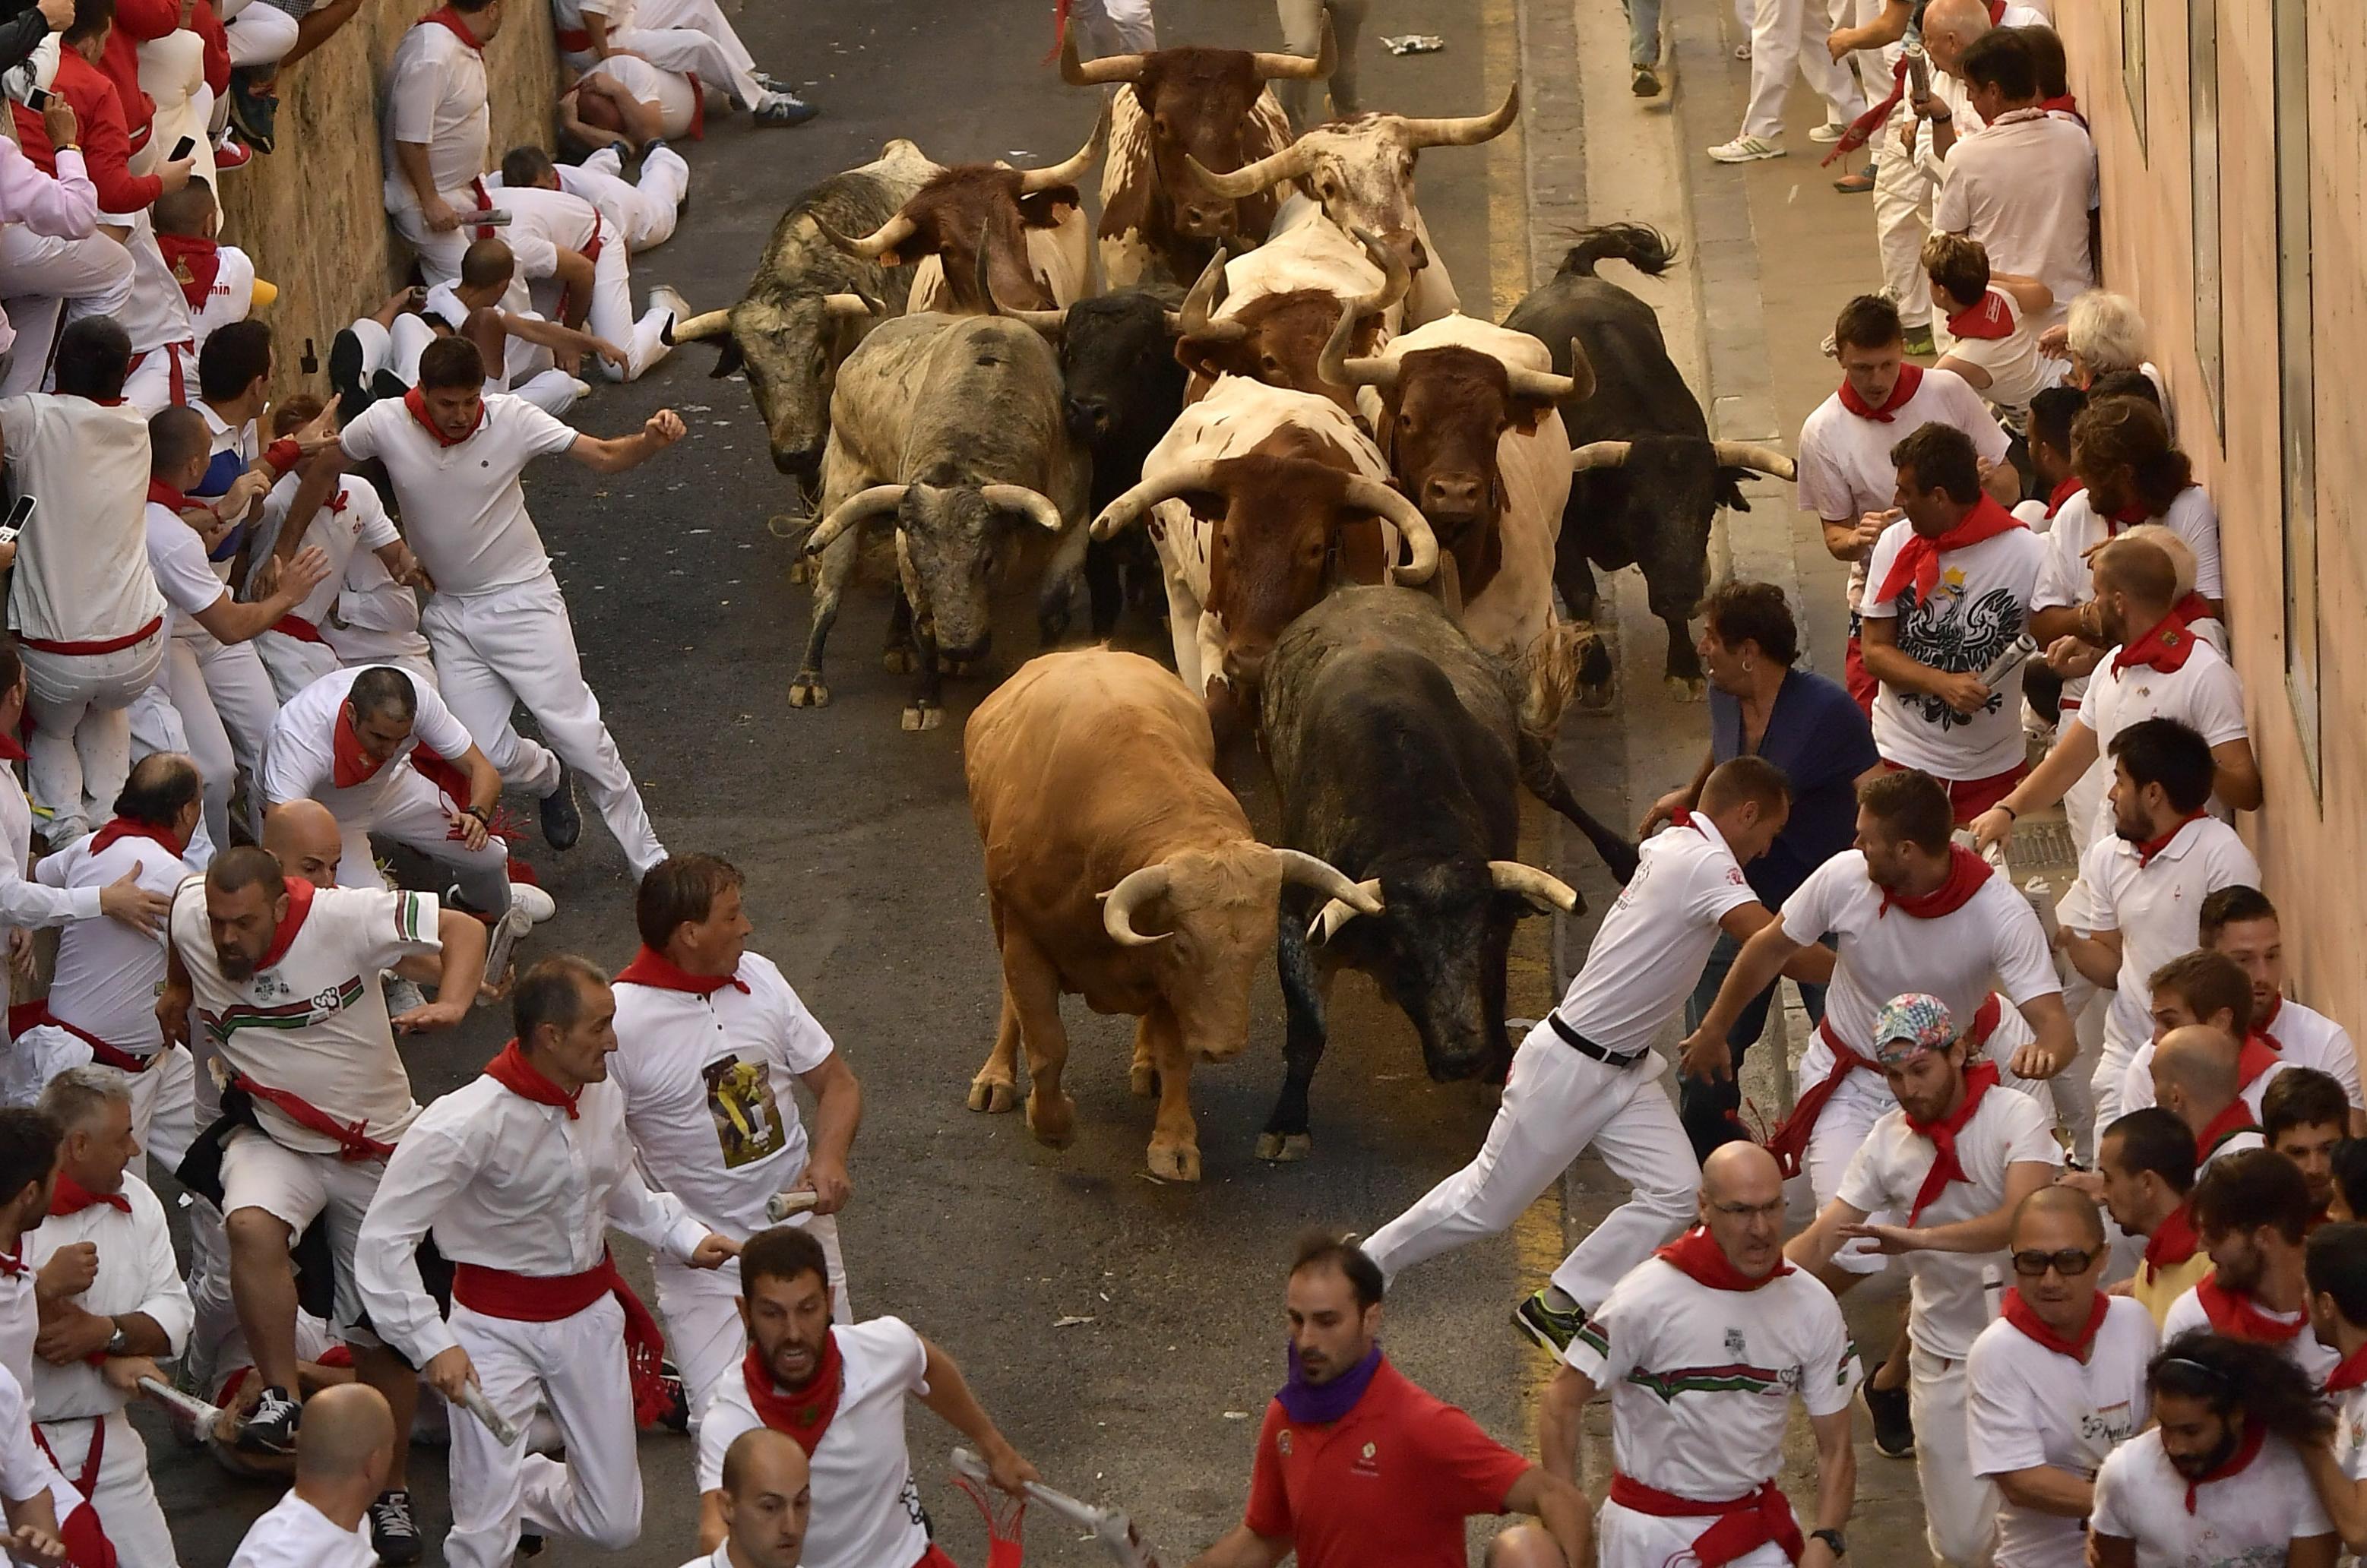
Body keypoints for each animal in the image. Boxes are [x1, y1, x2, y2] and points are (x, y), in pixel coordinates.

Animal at [960, 647, 1382, 1178]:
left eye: (1259, 950)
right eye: (1183, 945)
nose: (1225, 1046)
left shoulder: (1171, 983)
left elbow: (1176, 1052)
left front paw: (1175, 1143)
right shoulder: (1026, 941)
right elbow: (1047, 1042)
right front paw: (1051, 1123)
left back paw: (1147, 1066)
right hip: (1000, 915)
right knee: (1010, 1001)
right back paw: (995, 1077)